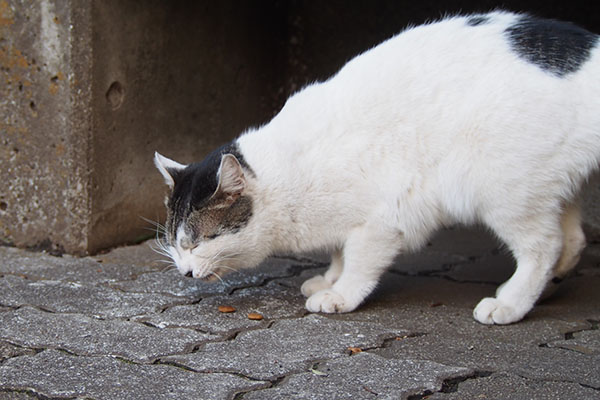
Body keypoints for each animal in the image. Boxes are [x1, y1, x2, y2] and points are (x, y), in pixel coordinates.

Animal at [154, 11, 600, 324]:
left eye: (199, 242)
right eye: (176, 244)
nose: (185, 272)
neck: (284, 180)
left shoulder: (383, 220)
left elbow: (359, 263)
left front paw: (340, 294)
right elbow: (338, 252)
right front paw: (329, 278)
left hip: (504, 192)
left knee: (544, 246)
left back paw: (511, 303)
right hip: (548, 188)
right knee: (573, 239)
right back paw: (547, 287)